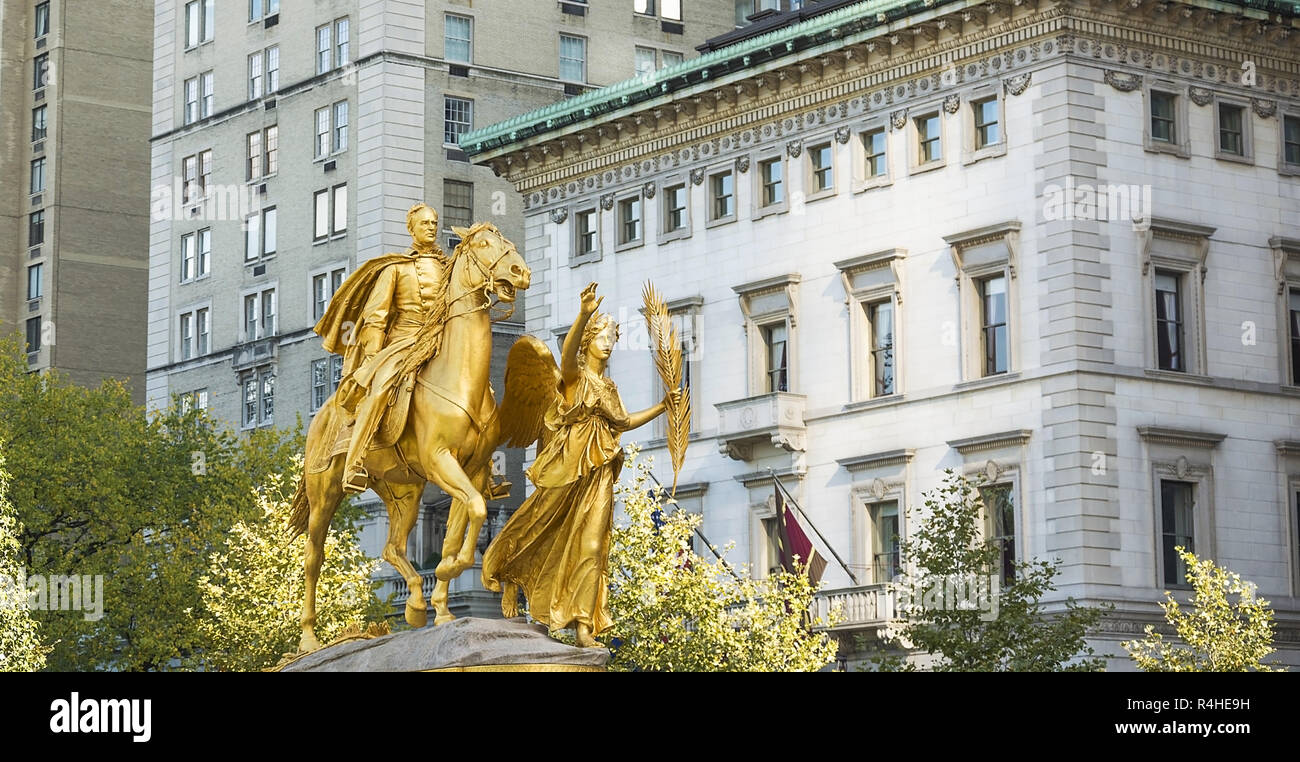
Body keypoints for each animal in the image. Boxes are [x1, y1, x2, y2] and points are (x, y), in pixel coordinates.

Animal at [291, 222, 533, 650]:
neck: (459, 378)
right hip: (325, 494)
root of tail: (321, 415)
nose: (520, 272)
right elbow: (474, 512)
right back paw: (308, 640)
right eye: (484, 244)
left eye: (507, 242)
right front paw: (454, 576)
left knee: (392, 547)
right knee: (312, 559)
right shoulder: (439, 461)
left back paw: (416, 605)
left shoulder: (471, 471)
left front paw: (444, 600)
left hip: (403, 490)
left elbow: (464, 524)